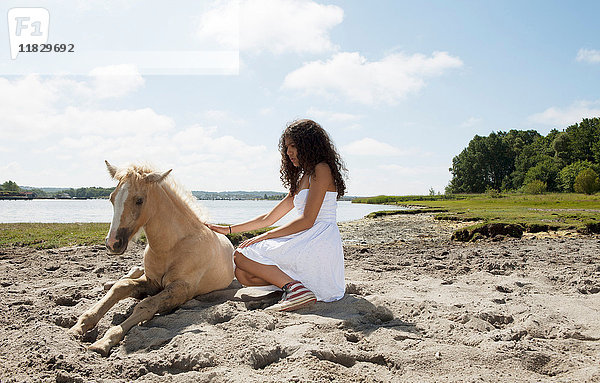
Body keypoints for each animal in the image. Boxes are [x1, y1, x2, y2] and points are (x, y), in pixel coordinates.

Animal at [67, 162, 232, 356]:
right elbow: (121, 287)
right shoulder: (151, 281)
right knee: (127, 276)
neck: (171, 247)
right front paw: (79, 326)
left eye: (139, 200)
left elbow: (146, 305)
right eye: (111, 198)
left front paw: (104, 341)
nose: (112, 243)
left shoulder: (182, 289)